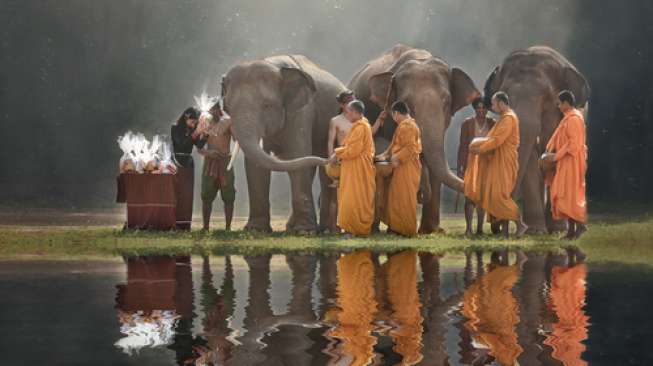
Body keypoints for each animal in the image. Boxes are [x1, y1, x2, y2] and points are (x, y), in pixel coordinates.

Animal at [222, 54, 346, 233]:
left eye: (267, 105)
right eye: (227, 108)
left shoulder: (302, 111)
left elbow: (298, 154)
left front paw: (305, 231)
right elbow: (256, 166)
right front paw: (256, 230)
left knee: (321, 172)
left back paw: (326, 230)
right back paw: (294, 227)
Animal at [484, 45, 592, 233]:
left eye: (547, 97)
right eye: (505, 94)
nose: (497, 226)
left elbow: (553, 150)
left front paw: (555, 229)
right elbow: (531, 160)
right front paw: (535, 230)